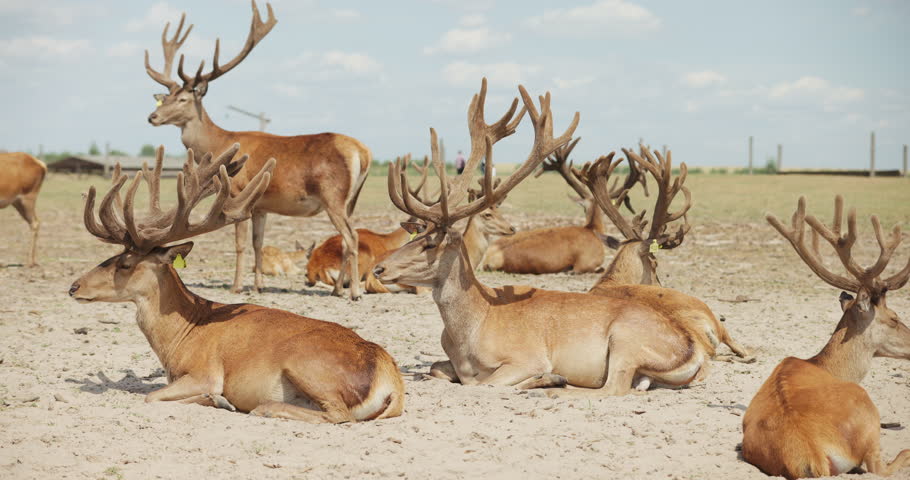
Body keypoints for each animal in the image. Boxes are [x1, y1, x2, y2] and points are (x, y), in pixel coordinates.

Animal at [68, 145, 404, 423]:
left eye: (125, 263)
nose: (74, 286)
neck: (182, 336)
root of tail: (392, 383)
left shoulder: (205, 371)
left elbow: (151, 396)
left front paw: (220, 401)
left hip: (308, 366)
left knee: (339, 414)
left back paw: (264, 407)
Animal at [144, 2, 372, 299]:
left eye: (182, 99)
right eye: (165, 97)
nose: (153, 117)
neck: (219, 144)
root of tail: (363, 152)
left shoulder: (237, 192)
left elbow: (240, 244)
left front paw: (237, 286)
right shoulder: (261, 206)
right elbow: (257, 243)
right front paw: (258, 285)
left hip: (333, 195)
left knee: (352, 237)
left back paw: (354, 291)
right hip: (350, 200)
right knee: (347, 239)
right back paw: (336, 289)